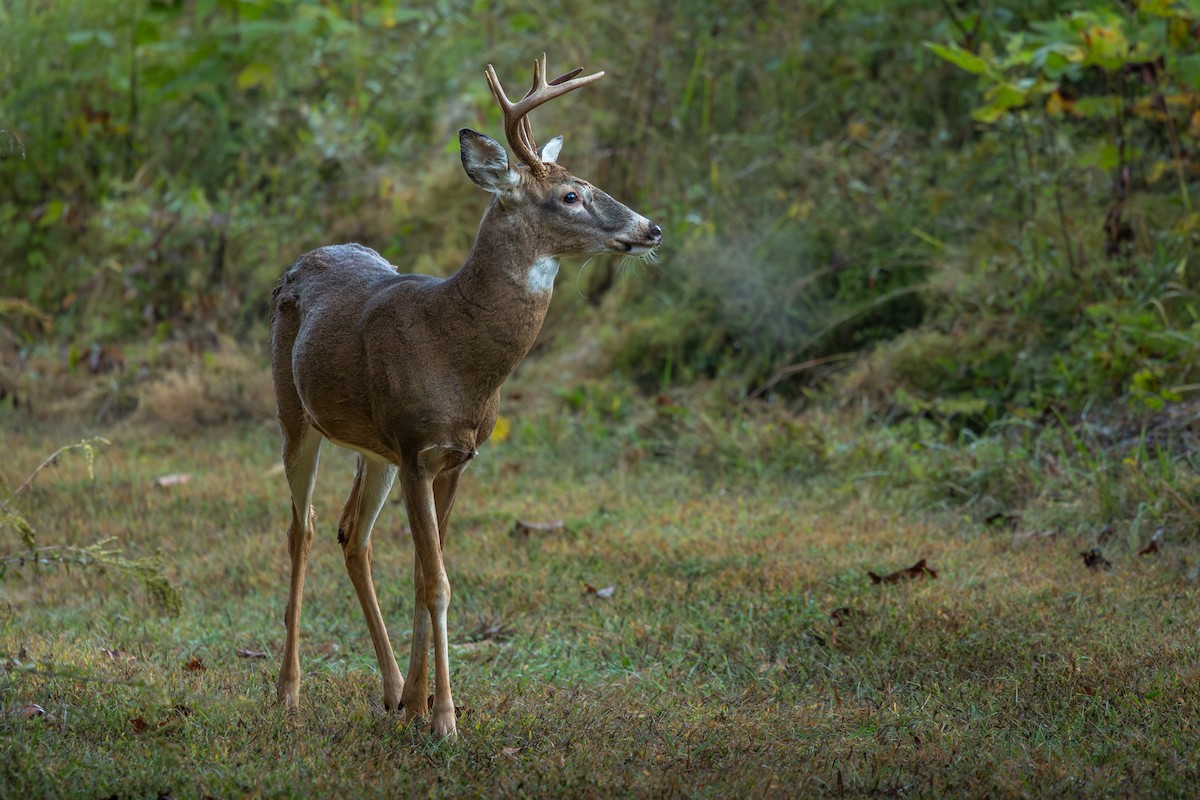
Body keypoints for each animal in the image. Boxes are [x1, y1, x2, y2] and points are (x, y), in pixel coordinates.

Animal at [268, 54, 662, 740]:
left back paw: (389, 690)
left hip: (373, 448)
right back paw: (290, 692)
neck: (456, 351)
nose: (651, 228)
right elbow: (438, 583)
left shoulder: (451, 458)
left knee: (353, 535)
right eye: (570, 195)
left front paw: (418, 705)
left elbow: (426, 573)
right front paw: (446, 720)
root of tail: (300, 261)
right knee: (303, 529)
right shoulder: (416, 447)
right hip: (296, 416)